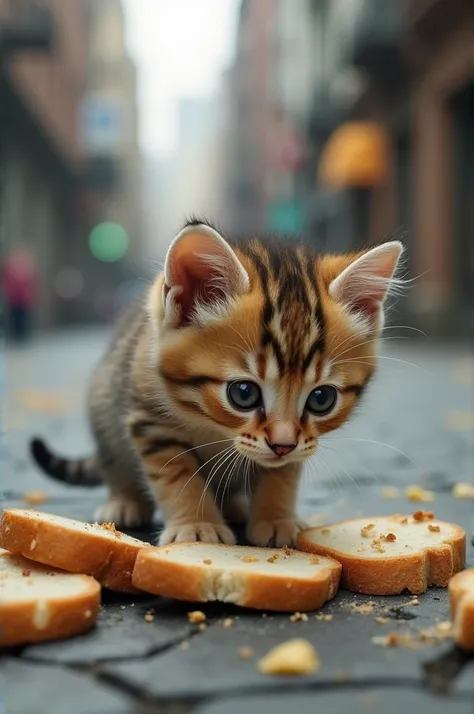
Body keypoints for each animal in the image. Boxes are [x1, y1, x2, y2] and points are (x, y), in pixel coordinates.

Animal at [29, 220, 402, 544]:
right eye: (243, 393)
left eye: (321, 399)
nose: (282, 445)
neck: (213, 426)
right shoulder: (149, 420)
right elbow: (177, 475)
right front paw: (196, 525)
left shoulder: (300, 443)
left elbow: (281, 473)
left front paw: (276, 518)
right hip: (105, 400)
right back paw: (124, 501)